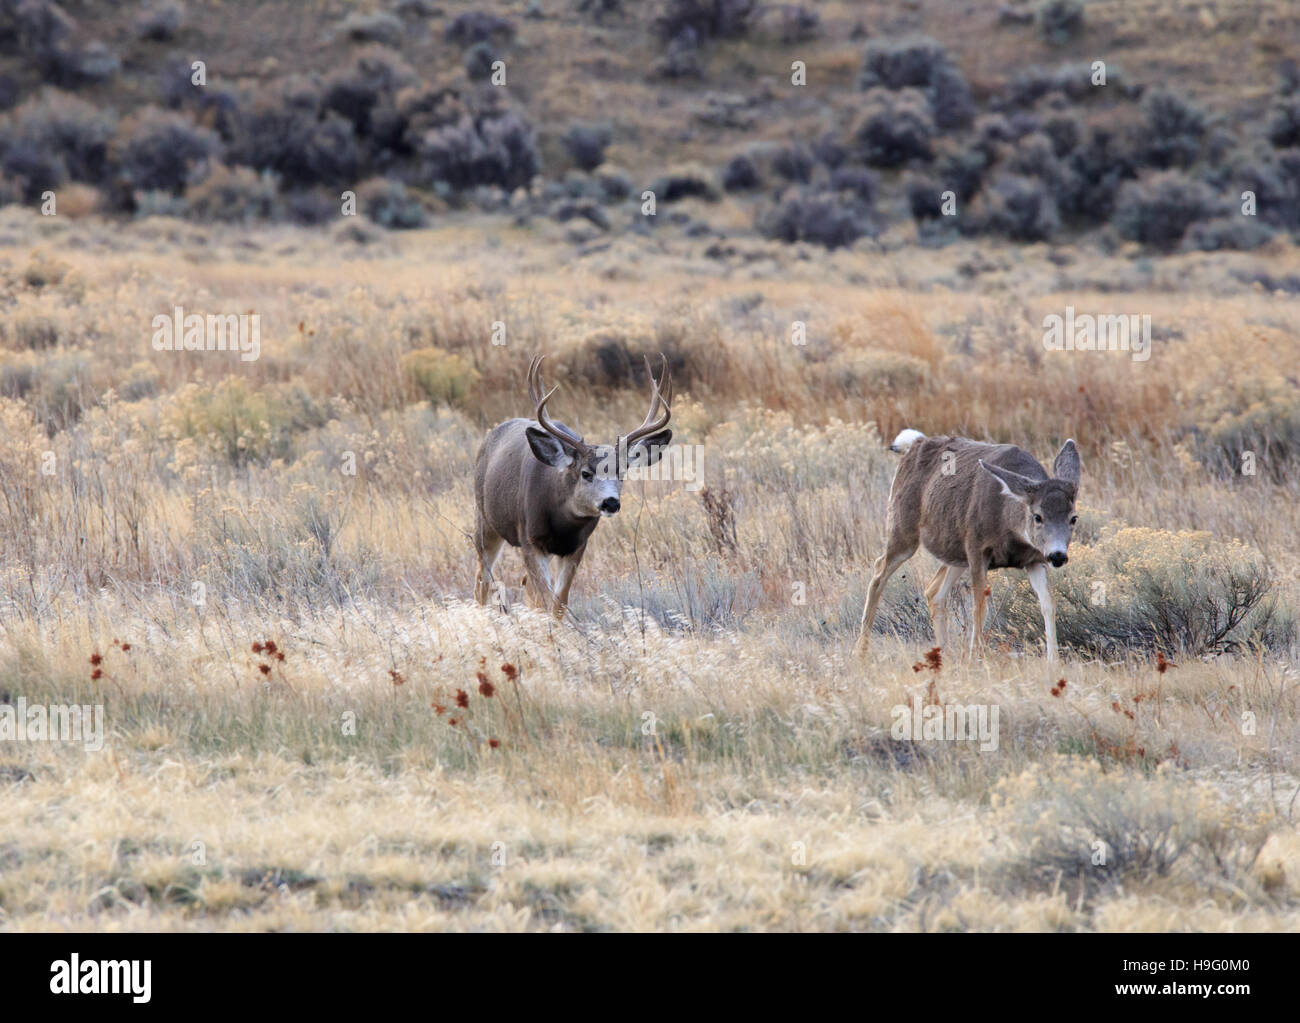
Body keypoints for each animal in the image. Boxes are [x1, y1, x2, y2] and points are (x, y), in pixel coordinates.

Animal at [470, 356, 670, 621]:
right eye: (586, 473)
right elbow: (545, 600)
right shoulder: (530, 539)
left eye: (622, 473)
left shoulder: (576, 546)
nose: (611, 502)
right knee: (482, 578)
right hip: (484, 520)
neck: (561, 523)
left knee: (524, 585)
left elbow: (559, 602)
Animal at [857, 428, 1081, 660]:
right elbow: (979, 606)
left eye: (1074, 518)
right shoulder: (977, 547)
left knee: (933, 591)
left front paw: (1053, 662)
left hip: (955, 552)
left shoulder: (1035, 558)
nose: (1057, 555)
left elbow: (1048, 602)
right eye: (1038, 516)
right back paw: (860, 652)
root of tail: (914, 443)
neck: (1006, 519)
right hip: (903, 527)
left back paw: (942, 655)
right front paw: (977, 658)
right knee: (879, 570)